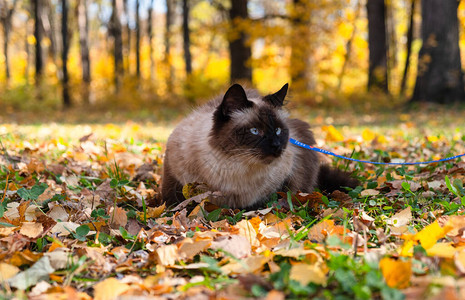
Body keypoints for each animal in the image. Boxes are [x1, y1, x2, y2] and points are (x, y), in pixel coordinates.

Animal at [161, 82, 358, 209]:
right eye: (255, 131)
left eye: (278, 130)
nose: (277, 146)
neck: (234, 167)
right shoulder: (175, 177)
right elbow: (175, 202)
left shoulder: (287, 176)